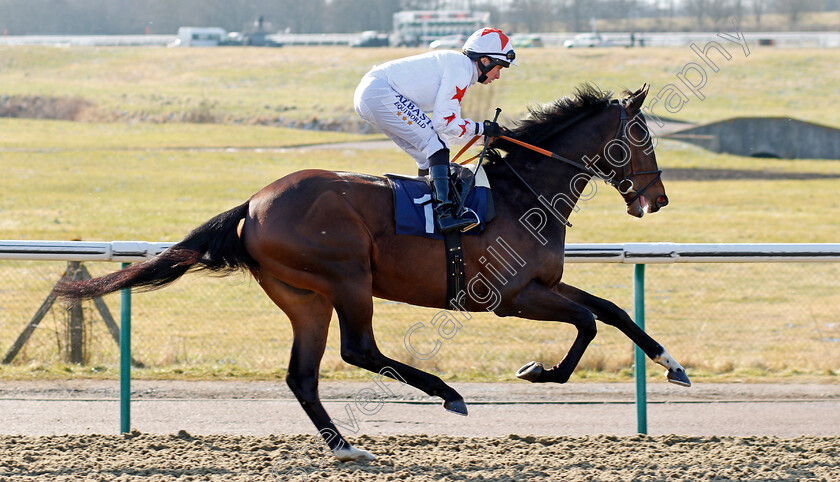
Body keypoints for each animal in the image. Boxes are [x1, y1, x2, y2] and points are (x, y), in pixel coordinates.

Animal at [54, 84, 688, 462]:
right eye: (642, 136)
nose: (656, 200)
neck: (521, 194)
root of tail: (253, 204)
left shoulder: (543, 285)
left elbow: (612, 311)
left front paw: (672, 364)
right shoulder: (511, 297)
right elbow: (587, 323)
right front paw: (542, 371)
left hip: (304, 296)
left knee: (303, 375)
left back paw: (345, 448)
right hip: (348, 278)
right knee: (358, 349)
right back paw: (446, 394)